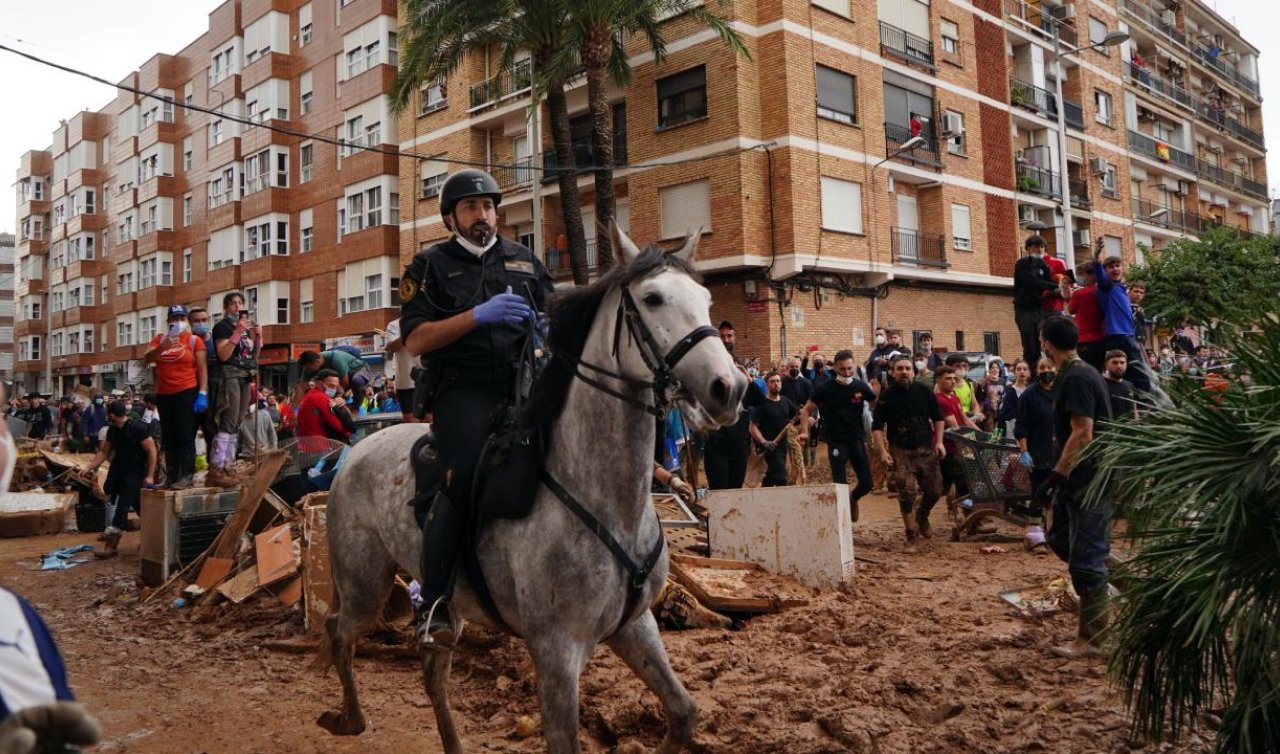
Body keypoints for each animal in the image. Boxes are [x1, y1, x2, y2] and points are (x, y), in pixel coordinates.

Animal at [313, 225, 747, 752]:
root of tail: (355, 449)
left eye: (706, 299)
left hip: (444, 603)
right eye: (653, 298)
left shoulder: (635, 626)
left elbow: (683, 712)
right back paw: (349, 718)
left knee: (433, 672)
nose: (730, 388)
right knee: (339, 630)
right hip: (365, 584)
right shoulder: (556, 651)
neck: (608, 500)